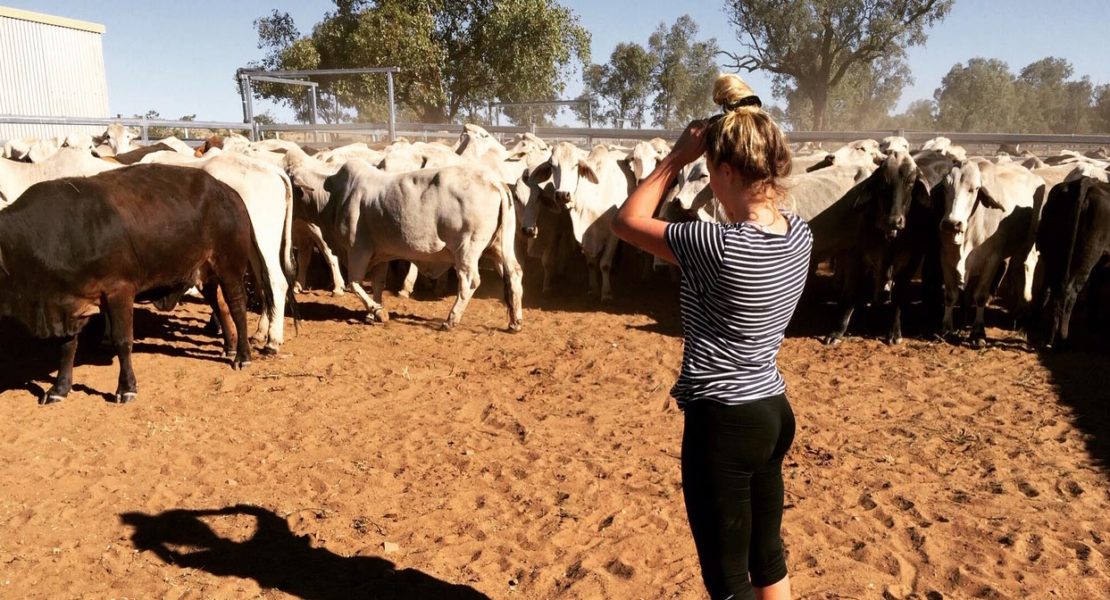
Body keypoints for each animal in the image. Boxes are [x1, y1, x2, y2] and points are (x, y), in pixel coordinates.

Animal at [0, 165, 267, 401]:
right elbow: (66, 347)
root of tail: (227, 190)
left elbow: (122, 341)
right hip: (205, 273)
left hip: (230, 268)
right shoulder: (67, 306)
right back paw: (230, 346)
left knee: (237, 307)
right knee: (220, 307)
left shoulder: (119, 291)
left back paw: (242, 355)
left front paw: (126, 388)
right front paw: (59, 389)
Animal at [941, 158, 1043, 346]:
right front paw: (948, 328)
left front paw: (978, 332)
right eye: (945, 187)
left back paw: (1022, 306)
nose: (952, 224)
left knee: (1026, 265)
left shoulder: (991, 260)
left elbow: (980, 295)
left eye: (974, 189)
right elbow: (950, 295)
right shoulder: (946, 258)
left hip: (1029, 242)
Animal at [1030, 176, 1110, 346]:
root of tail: (1084, 182)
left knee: (1049, 287)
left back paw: (1042, 328)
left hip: (1052, 252)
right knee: (1070, 291)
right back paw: (1062, 337)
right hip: (1087, 255)